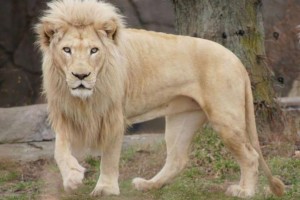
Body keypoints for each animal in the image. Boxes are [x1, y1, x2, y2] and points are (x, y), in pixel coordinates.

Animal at [35, 0, 284, 198]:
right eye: (67, 50)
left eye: (94, 50)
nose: (81, 76)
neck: (84, 99)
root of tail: (237, 60)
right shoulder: (67, 113)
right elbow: (59, 150)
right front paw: (72, 178)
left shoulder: (114, 116)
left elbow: (109, 155)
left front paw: (105, 188)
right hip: (182, 119)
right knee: (177, 159)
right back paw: (148, 185)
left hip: (225, 118)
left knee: (250, 156)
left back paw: (244, 191)